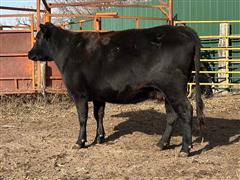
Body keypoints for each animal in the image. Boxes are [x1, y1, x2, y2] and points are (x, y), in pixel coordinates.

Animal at [28, 22, 204, 157]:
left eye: (38, 38)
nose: (29, 54)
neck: (69, 50)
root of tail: (181, 30)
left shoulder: (79, 94)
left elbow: (82, 118)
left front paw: (80, 142)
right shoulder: (98, 95)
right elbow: (98, 115)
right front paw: (99, 138)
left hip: (174, 89)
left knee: (186, 111)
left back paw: (185, 149)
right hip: (167, 92)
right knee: (172, 116)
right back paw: (162, 144)